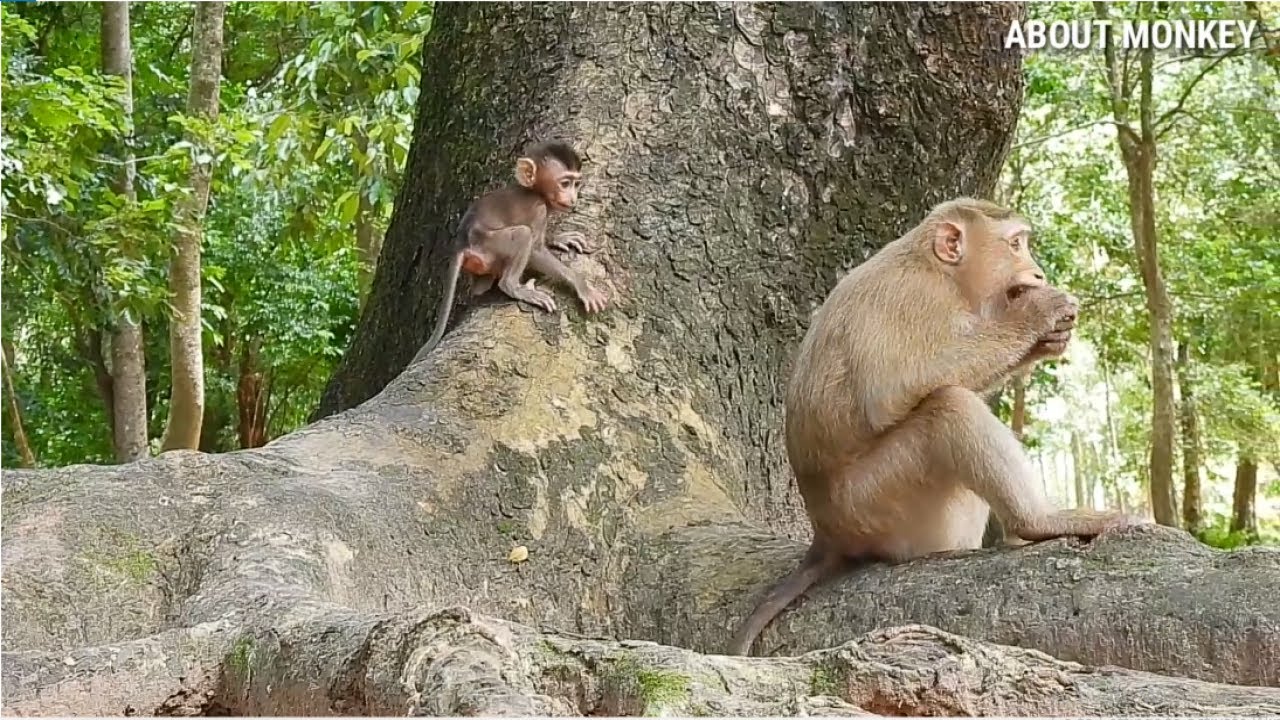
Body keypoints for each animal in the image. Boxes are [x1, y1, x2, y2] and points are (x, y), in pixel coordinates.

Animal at [412, 141, 608, 364]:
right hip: (489, 244)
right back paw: (514, 287)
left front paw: (560, 238)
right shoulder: (538, 209)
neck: (536, 192)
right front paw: (581, 285)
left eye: (576, 184)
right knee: (523, 234)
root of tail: (461, 243)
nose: (573, 198)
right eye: (565, 183)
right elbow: (535, 250)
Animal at [726, 198, 1145, 656]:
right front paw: (1035, 315)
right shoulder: (914, 299)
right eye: (1016, 244)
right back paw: (1037, 522)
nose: (1037, 274)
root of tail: (827, 535)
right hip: (877, 504)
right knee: (949, 407)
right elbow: (892, 391)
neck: (942, 273)